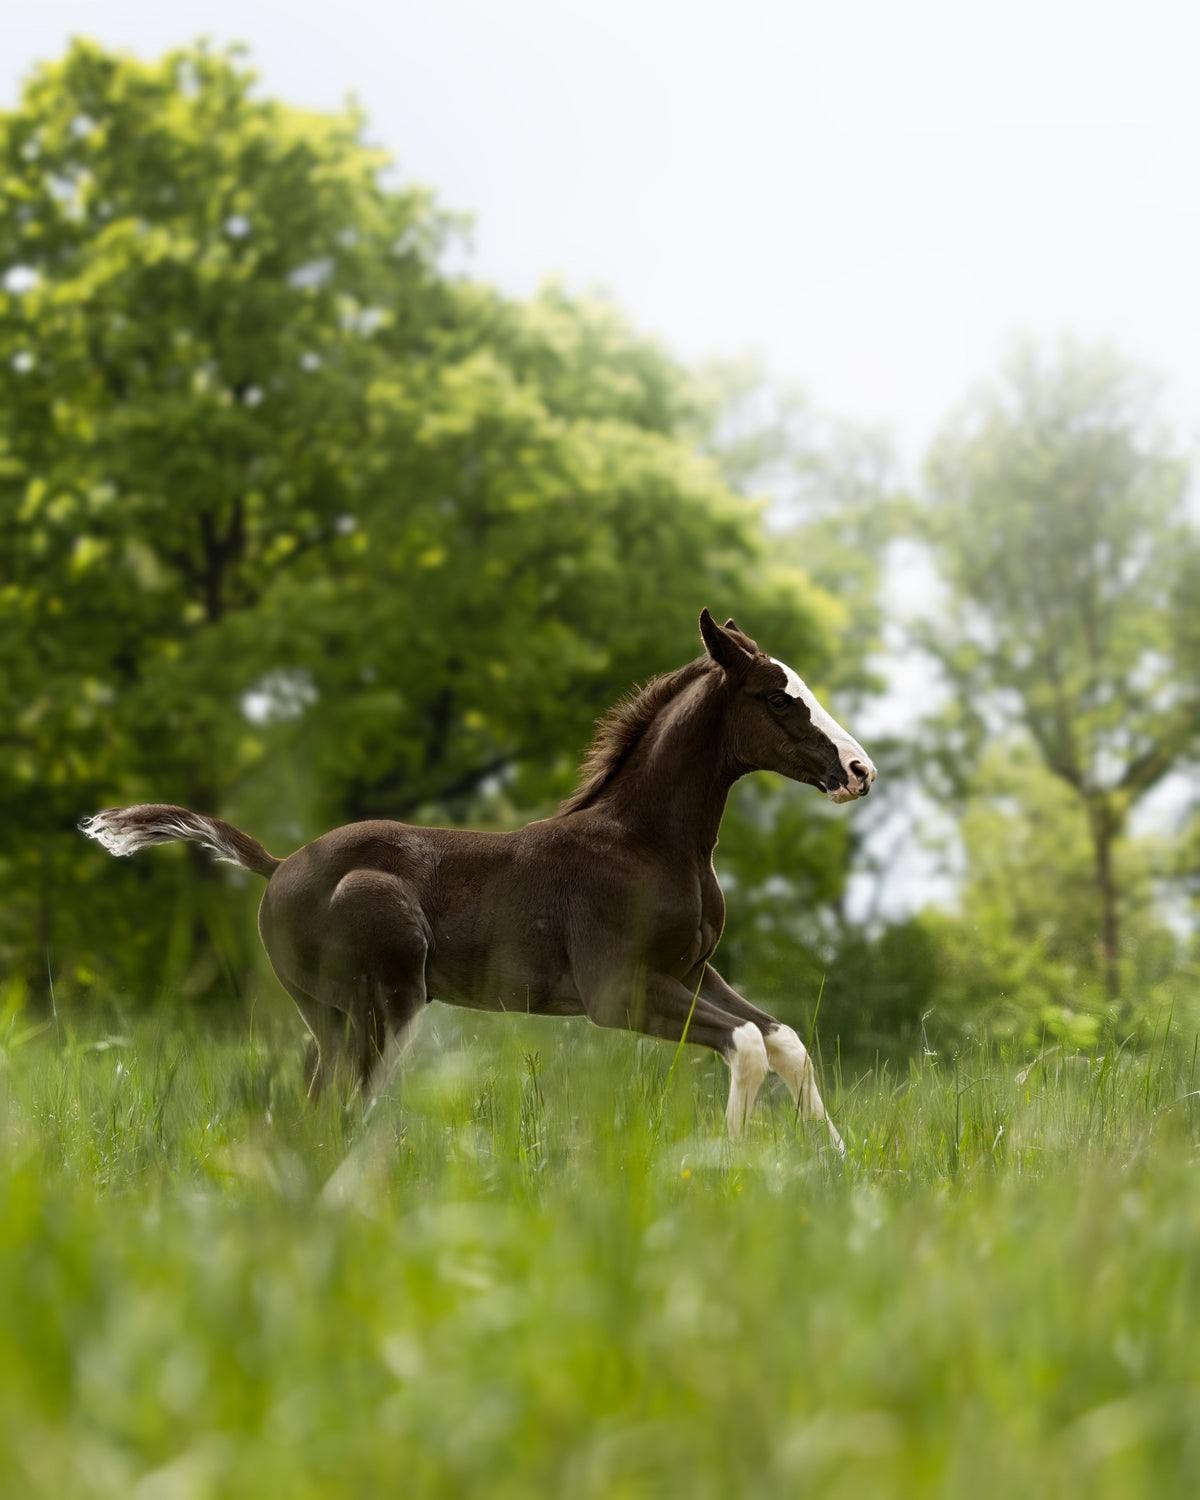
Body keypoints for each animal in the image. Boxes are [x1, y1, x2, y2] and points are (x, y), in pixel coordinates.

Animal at [82, 610, 876, 1148]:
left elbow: (783, 1039)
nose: (858, 770)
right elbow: (745, 1044)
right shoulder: (618, 990)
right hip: (385, 1003)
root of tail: (279, 867)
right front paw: (731, 1164)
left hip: (334, 1016)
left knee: (315, 1099)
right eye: (777, 697)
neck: (647, 842)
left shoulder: (691, 971)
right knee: (347, 1104)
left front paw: (836, 1166)